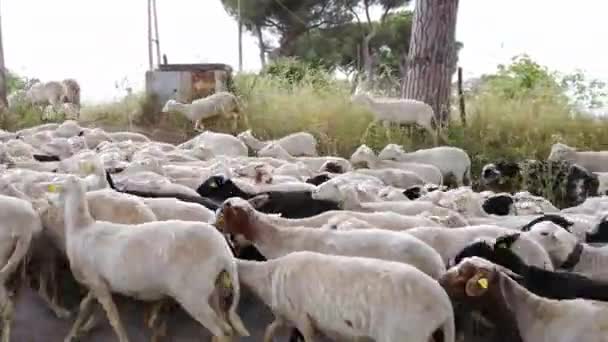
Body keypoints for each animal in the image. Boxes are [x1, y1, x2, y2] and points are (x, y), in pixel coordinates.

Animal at [44, 176, 249, 342]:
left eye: (61, 189)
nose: (49, 201)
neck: (81, 228)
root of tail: (224, 251)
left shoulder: (97, 283)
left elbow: (114, 318)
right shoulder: (98, 283)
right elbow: (85, 307)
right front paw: (73, 333)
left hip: (193, 295)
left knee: (223, 331)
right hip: (213, 290)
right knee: (226, 328)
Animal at [235, 251, 454, 342]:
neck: (268, 275)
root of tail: (444, 305)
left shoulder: (303, 318)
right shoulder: (285, 317)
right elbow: (269, 329)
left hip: (404, 336)